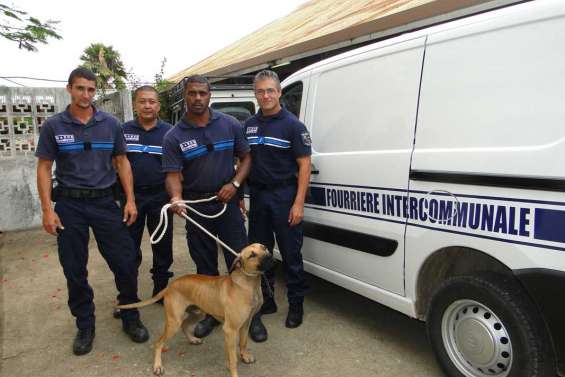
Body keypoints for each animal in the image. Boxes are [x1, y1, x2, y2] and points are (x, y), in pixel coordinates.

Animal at [115, 244, 274, 376]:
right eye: (252, 255)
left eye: (264, 247)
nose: (270, 256)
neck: (247, 284)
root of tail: (171, 286)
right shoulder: (230, 329)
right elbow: (232, 358)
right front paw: (234, 371)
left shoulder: (246, 323)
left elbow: (243, 342)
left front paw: (245, 355)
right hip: (174, 322)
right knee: (159, 343)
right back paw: (158, 366)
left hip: (197, 313)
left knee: (185, 325)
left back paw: (192, 339)